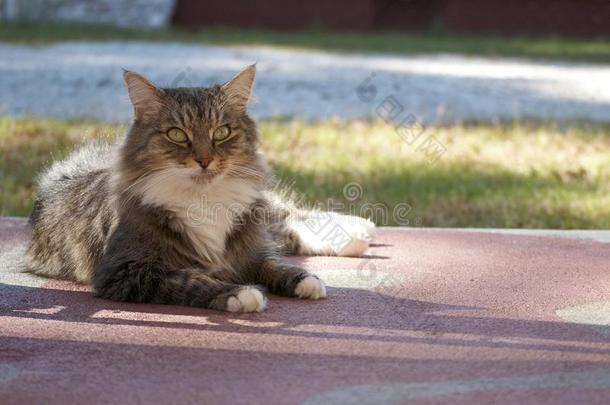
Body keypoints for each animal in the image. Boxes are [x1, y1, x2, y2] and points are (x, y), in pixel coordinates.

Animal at [26, 65, 372, 312]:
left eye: (221, 132)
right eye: (177, 134)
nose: (205, 160)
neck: (204, 199)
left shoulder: (249, 249)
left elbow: (274, 264)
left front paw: (305, 280)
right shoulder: (126, 271)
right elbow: (192, 279)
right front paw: (240, 294)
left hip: (257, 212)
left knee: (286, 218)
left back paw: (359, 230)